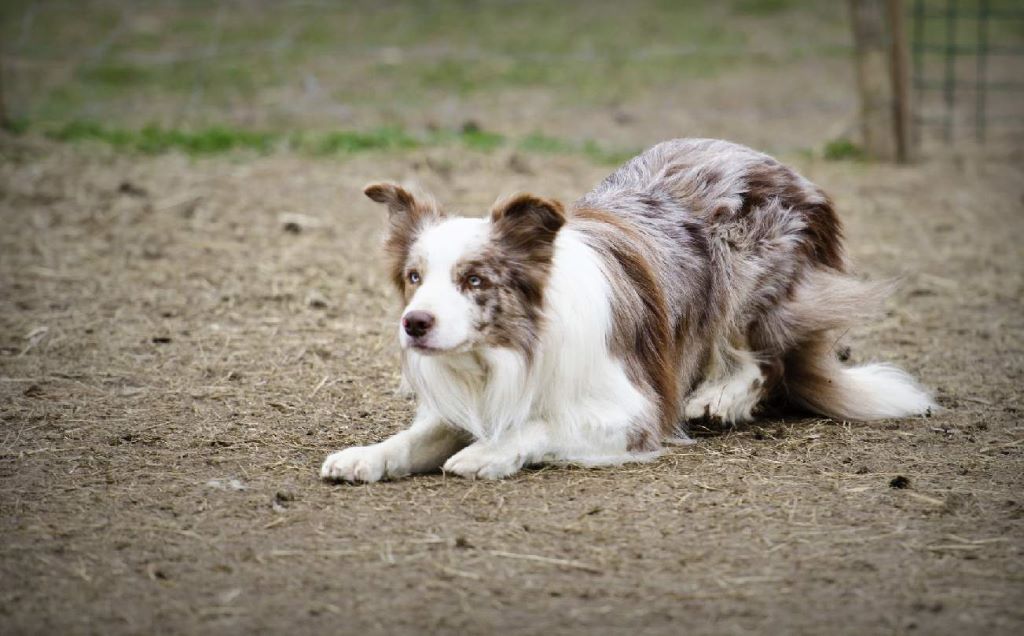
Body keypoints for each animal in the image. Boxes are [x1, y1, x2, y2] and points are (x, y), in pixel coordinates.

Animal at [321, 138, 935, 482]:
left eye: (474, 279)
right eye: (414, 278)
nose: (414, 324)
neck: (510, 351)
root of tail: (779, 166)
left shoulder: (635, 413)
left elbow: (542, 424)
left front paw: (486, 453)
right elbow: (410, 440)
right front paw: (363, 456)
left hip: (740, 273)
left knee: (766, 360)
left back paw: (721, 398)